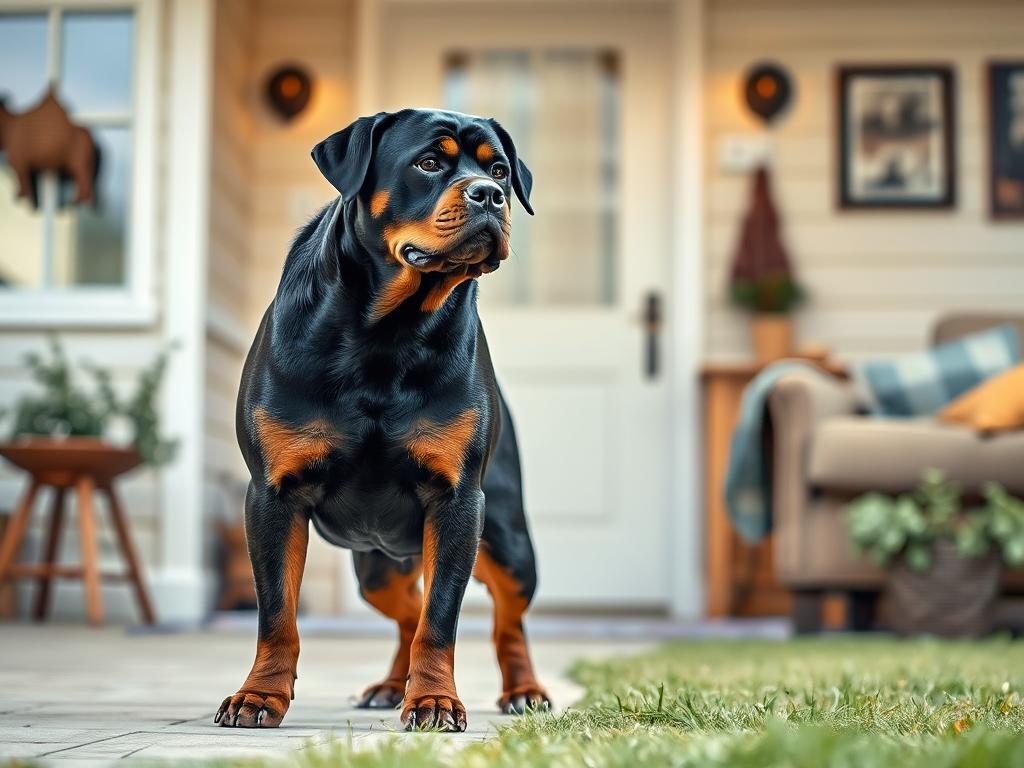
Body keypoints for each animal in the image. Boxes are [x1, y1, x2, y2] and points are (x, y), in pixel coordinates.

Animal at [217, 108, 552, 733]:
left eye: (498, 169)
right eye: (429, 162)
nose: (490, 194)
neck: (387, 332)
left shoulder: (457, 501)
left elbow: (440, 619)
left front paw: (435, 700)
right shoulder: (272, 495)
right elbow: (276, 613)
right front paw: (259, 695)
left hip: (508, 540)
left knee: (506, 618)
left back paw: (523, 690)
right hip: (376, 570)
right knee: (404, 611)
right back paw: (392, 686)